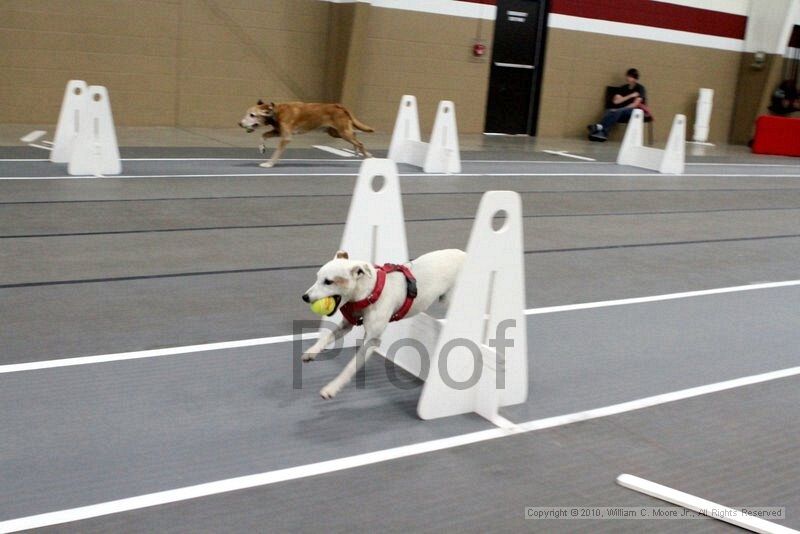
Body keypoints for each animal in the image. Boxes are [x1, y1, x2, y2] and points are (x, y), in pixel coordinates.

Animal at [238, 100, 376, 168]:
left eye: (252, 115)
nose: (239, 123)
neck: (275, 112)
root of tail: (339, 106)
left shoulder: (286, 137)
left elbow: (276, 152)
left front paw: (269, 163)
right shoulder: (278, 132)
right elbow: (263, 135)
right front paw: (262, 148)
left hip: (343, 132)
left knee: (359, 142)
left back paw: (367, 156)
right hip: (336, 133)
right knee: (356, 135)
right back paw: (360, 152)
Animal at [302, 249, 466, 400]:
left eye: (328, 281)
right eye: (317, 277)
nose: (305, 297)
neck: (368, 292)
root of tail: (465, 254)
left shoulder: (371, 341)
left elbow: (350, 367)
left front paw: (332, 388)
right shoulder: (347, 325)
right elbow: (326, 338)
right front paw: (311, 352)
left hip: (451, 300)